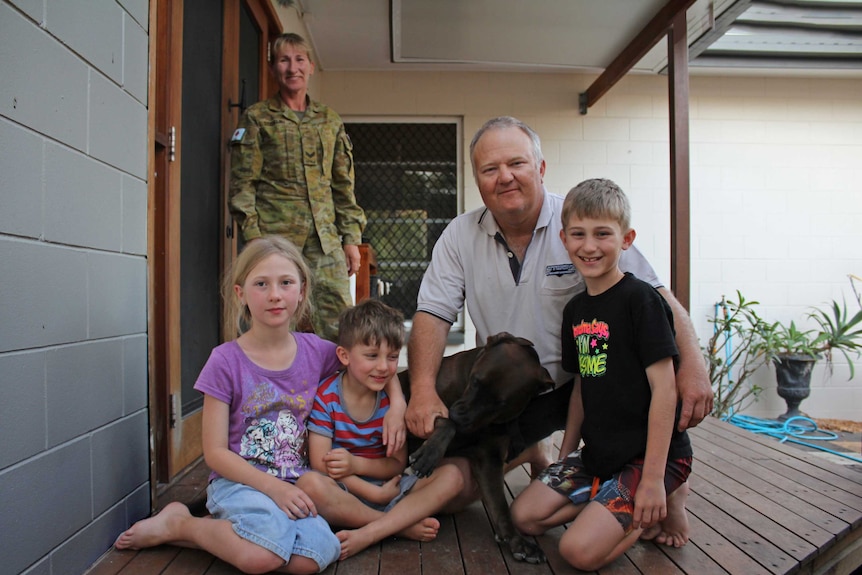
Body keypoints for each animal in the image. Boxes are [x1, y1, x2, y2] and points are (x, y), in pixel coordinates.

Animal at [402, 332, 556, 564]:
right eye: (476, 381)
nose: (459, 417)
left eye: (499, 403)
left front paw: (516, 541)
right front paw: (429, 454)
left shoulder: (489, 459)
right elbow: (445, 423)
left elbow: (499, 505)